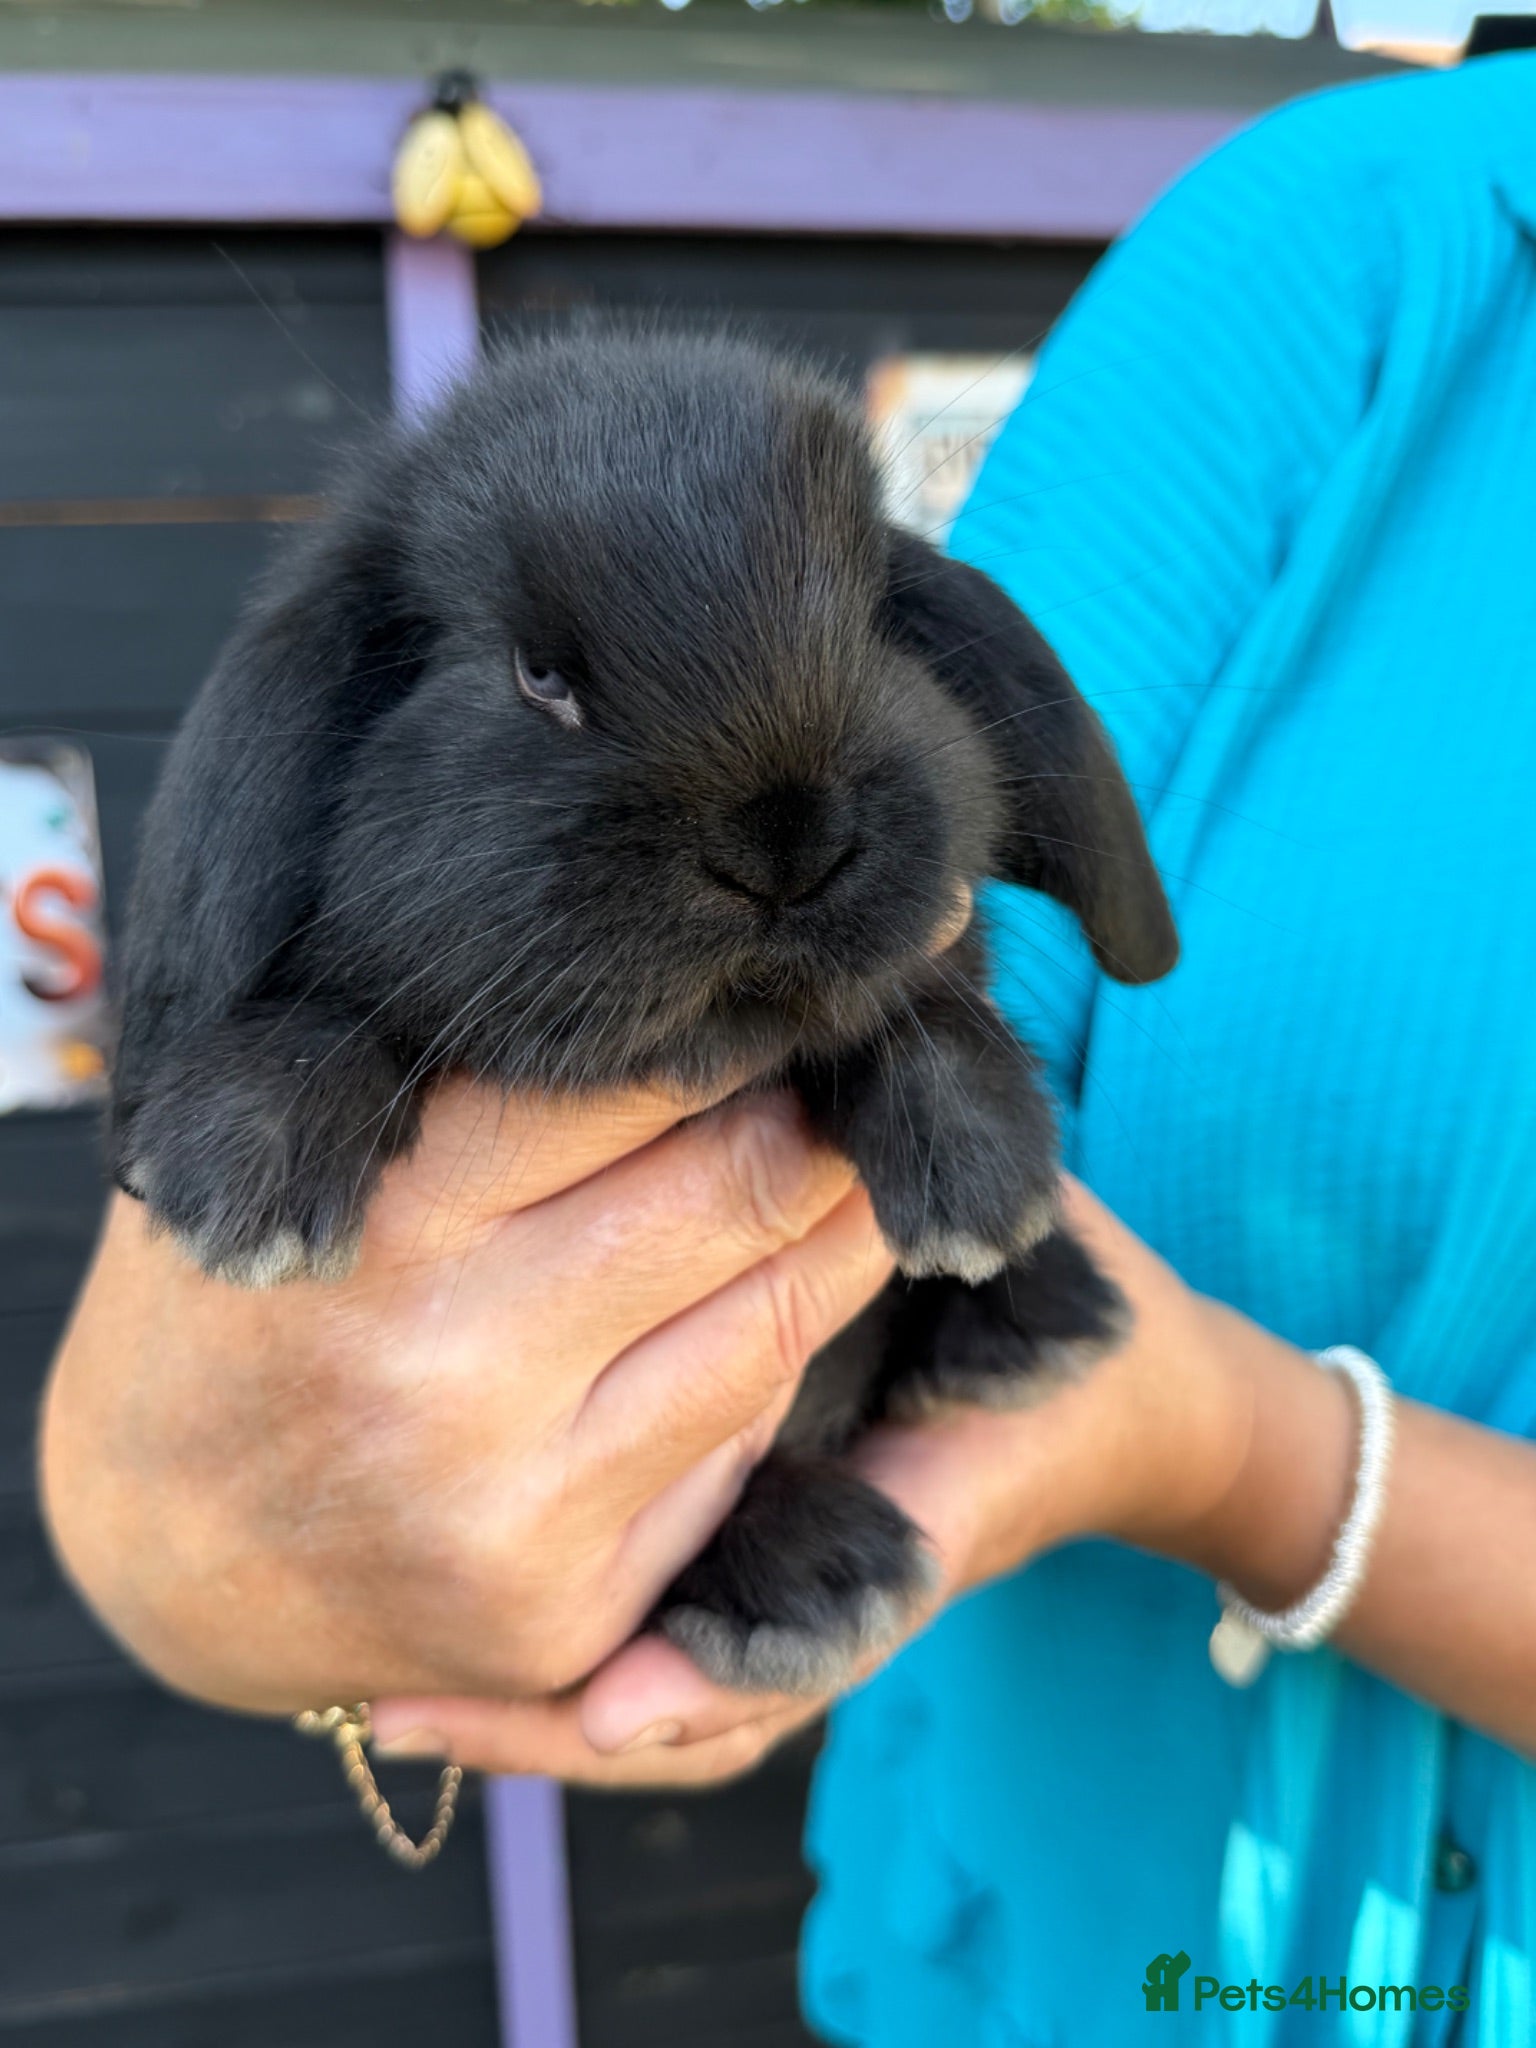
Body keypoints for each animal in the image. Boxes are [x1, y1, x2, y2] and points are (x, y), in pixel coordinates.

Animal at [110, 329, 1178, 1696]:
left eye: (874, 621)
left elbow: (919, 1007)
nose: (787, 839)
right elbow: (339, 1017)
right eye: (538, 673)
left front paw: (985, 1186)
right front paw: (240, 1180)